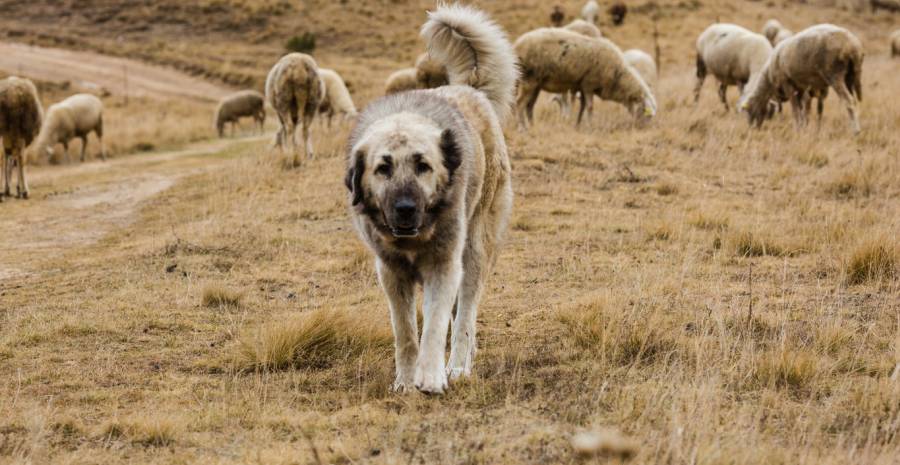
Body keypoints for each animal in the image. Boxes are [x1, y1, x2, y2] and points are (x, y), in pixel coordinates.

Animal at [342, 5, 512, 394]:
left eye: (423, 166)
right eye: (383, 168)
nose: (405, 210)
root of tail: (468, 88)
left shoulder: (444, 265)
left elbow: (434, 326)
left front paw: (432, 377)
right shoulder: (391, 274)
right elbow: (406, 333)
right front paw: (405, 382)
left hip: (474, 249)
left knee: (465, 315)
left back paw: (459, 367)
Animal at [516, 27, 656, 129]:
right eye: (646, 113)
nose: (642, 128)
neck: (617, 75)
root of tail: (518, 44)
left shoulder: (582, 86)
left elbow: (582, 106)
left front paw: (577, 125)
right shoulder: (589, 85)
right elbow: (590, 107)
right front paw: (590, 126)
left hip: (537, 84)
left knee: (529, 105)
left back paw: (533, 126)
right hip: (529, 79)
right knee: (520, 103)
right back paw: (523, 128)